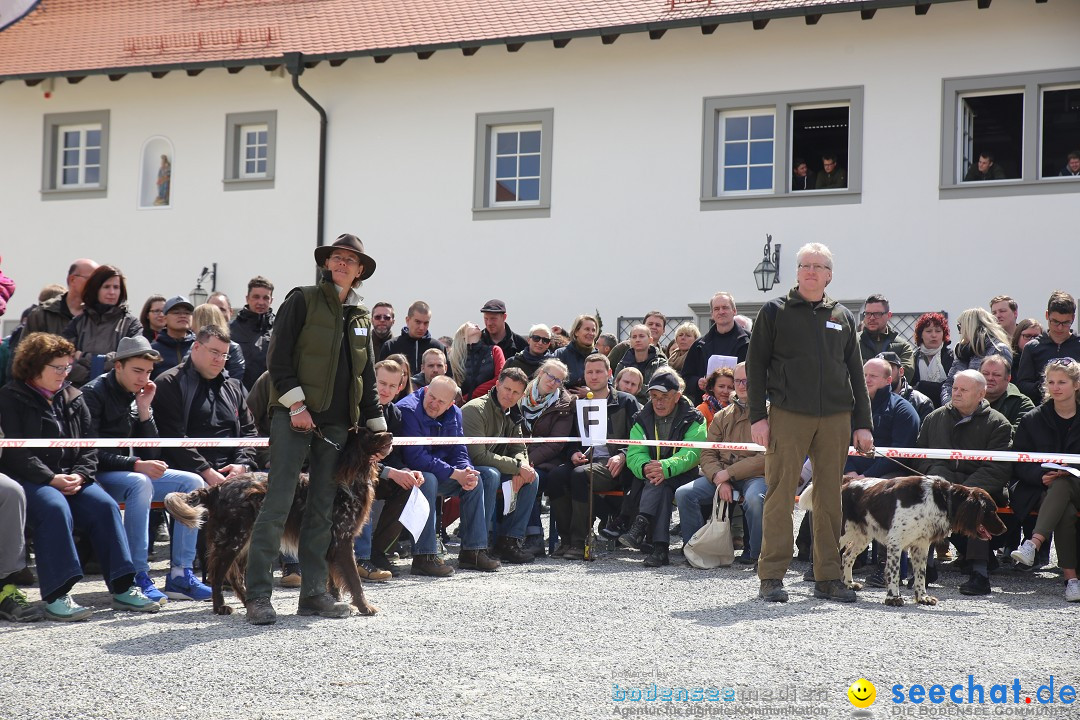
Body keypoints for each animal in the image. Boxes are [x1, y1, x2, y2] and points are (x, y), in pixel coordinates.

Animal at [803, 479, 1002, 608]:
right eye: (991, 510)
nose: (1004, 528)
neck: (940, 500)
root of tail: (845, 484)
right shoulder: (896, 543)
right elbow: (893, 573)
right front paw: (893, 598)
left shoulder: (921, 546)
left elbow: (920, 575)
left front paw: (922, 598)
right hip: (842, 532)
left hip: (862, 536)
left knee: (846, 556)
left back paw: (848, 584)